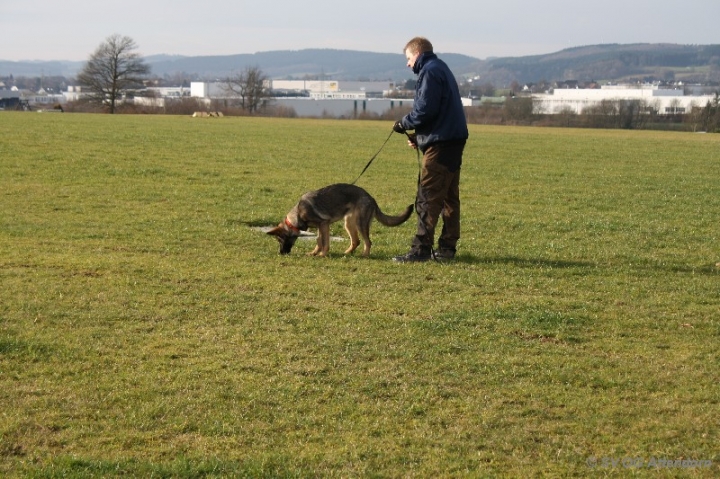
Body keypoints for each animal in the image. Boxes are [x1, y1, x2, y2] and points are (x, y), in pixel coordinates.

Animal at [268, 185, 414, 258]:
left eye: (280, 240)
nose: (281, 253)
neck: (297, 214)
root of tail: (371, 198)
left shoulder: (324, 224)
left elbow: (325, 242)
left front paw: (322, 255)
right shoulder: (321, 227)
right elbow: (319, 241)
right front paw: (314, 253)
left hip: (360, 224)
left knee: (368, 242)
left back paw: (365, 255)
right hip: (348, 223)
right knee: (356, 241)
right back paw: (347, 253)